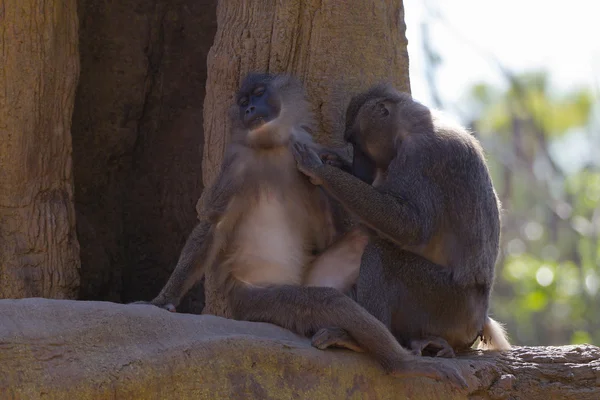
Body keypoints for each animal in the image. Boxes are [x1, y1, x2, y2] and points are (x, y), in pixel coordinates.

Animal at [134, 72, 466, 388]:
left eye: (258, 94)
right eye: (243, 102)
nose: (250, 109)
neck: (272, 146)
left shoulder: (304, 155)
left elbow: (326, 232)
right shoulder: (236, 166)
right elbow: (214, 224)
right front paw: (161, 301)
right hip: (259, 299)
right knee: (327, 302)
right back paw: (404, 365)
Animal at [290, 83, 510, 358]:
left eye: (355, 142)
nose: (358, 162)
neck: (418, 124)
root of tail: (479, 320)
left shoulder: (420, 157)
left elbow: (410, 227)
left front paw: (321, 170)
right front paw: (336, 164)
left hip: (446, 304)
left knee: (380, 254)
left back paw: (360, 339)